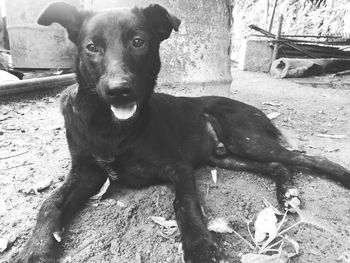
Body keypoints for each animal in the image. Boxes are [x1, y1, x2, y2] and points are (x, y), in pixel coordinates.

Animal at [14, 2, 350, 263]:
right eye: (92, 47)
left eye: (138, 42)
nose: (119, 90)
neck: (112, 126)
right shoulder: (86, 173)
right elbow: (49, 203)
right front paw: (36, 248)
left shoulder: (178, 166)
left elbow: (185, 204)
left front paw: (199, 246)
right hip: (225, 157)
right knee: (278, 164)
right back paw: (286, 192)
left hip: (246, 139)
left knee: (308, 159)